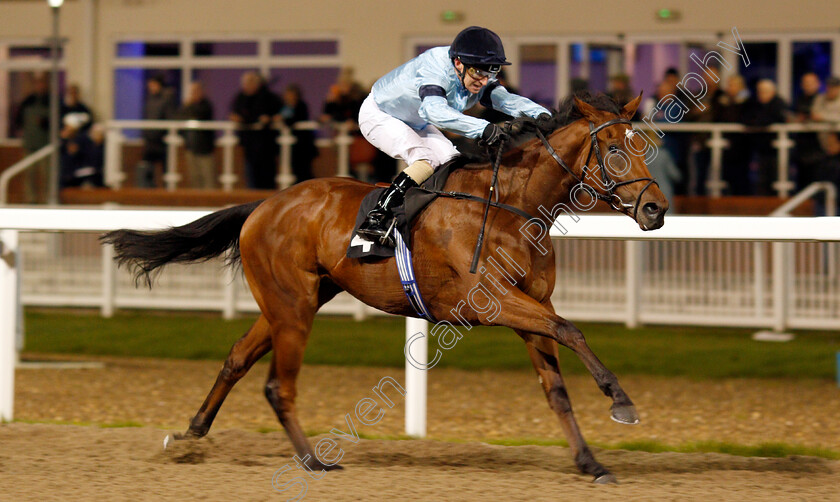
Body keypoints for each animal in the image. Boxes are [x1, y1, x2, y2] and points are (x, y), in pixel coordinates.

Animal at [103, 92, 668, 484]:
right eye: (613, 148)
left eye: (644, 145)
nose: (655, 209)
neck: (510, 205)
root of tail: (264, 204)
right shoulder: (493, 302)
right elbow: (571, 330)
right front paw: (621, 401)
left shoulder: (530, 306)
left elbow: (556, 388)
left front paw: (591, 462)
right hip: (293, 308)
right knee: (279, 385)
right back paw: (312, 461)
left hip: (294, 302)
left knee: (238, 358)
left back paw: (191, 433)